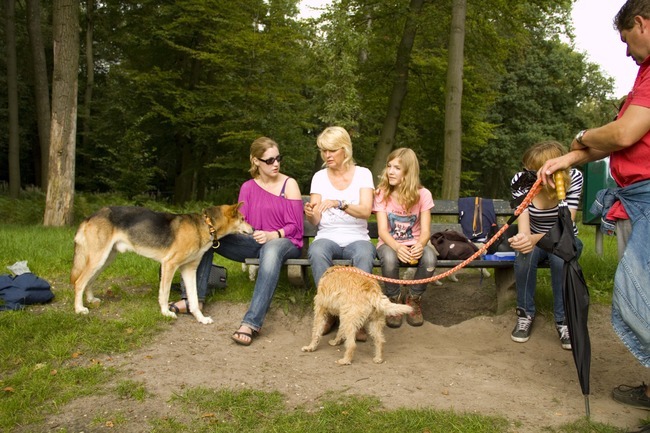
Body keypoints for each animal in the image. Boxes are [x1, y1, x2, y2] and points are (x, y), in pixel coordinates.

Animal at [70, 203, 252, 324]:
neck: (206, 226)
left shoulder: (189, 270)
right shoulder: (169, 265)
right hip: (98, 258)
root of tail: (91, 216)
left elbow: (193, 299)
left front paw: (200, 318)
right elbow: (164, 294)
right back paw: (79, 309)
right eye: (243, 218)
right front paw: (166, 313)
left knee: (89, 281)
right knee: (79, 282)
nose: (253, 229)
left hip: (105, 260)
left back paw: (91, 299)